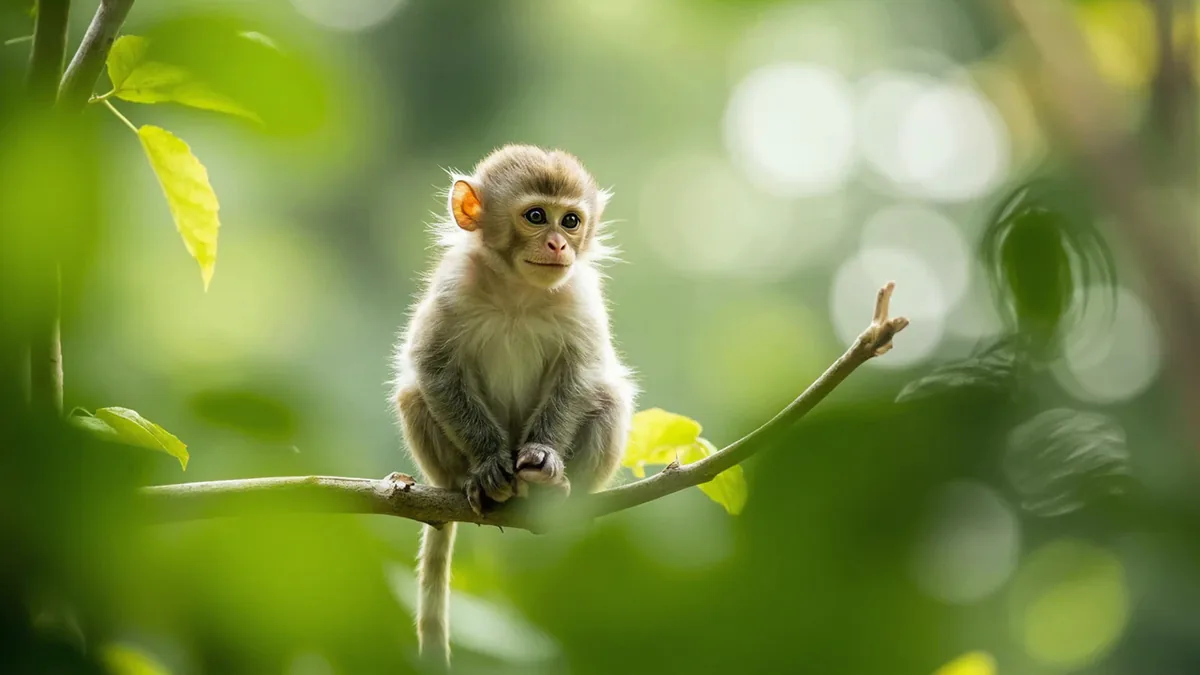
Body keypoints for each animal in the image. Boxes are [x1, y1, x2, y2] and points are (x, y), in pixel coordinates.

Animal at [389, 144, 637, 666]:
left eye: (570, 220)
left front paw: (543, 458)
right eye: (536, 216)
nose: (559, 245)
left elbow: (581, 375)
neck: (518, 292)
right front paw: (488, 466)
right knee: (414, 394)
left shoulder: (580, 296)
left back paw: (556, 491)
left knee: (607, 394)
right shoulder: (452, 286)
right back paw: (470, 485)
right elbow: (434, 368)